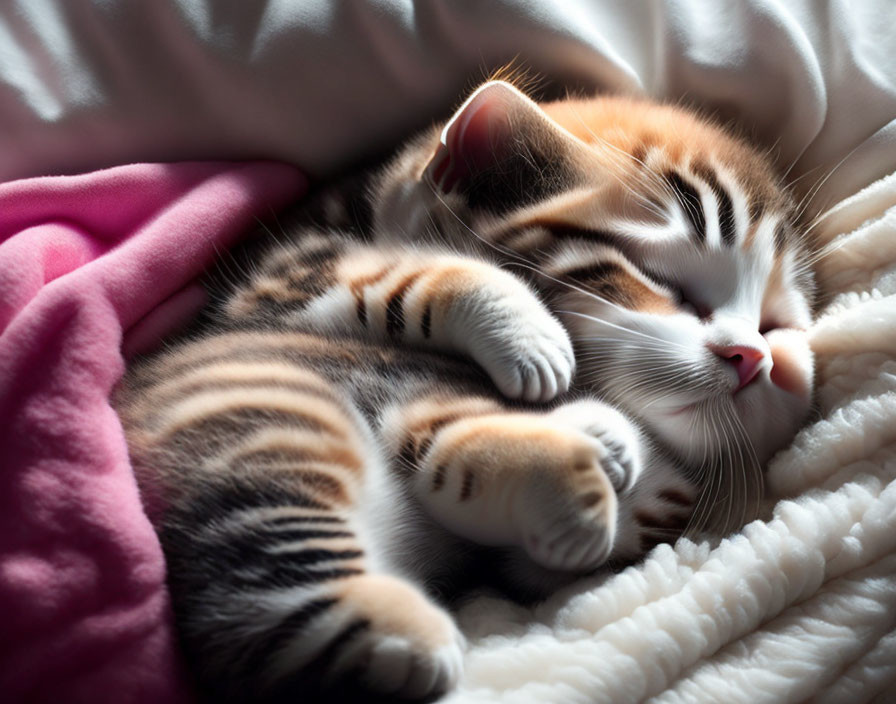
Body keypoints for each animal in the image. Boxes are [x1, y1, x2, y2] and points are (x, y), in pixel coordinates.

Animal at [115, 81, 816, 700]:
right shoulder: (272, 281)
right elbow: (408, 274)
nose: (752, 356)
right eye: (661, 280)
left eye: (774, 321)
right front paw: (528, 336)